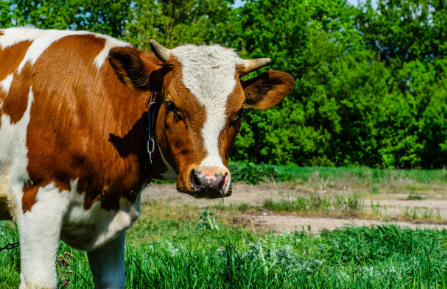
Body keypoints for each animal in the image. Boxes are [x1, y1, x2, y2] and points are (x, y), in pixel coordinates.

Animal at [0, 27, 296, 288]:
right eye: (172, 105)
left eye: (240, 113)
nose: (210, 180)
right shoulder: (38, 198)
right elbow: (40, 282)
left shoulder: (112, 214)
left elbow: (112, 281)